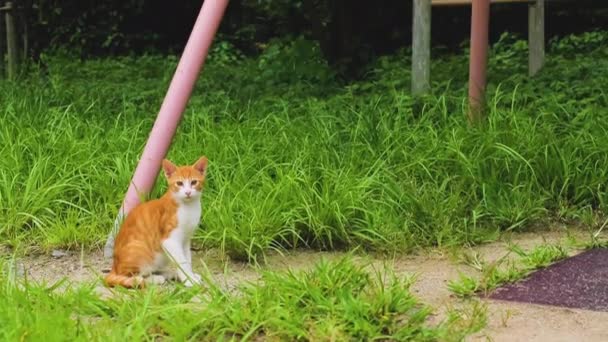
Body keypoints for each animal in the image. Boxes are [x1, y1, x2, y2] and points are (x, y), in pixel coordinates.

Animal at [105, 156, 209, 288]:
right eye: (179, 183)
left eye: (194, 182)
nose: (188, 192)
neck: (189, 207)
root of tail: (114, 265)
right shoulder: (170, 241)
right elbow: (181, 261)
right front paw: (189, 280)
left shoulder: (185, 239)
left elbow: (187, 259)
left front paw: (191, 275)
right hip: (139, 251)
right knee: (132, 277)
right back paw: (155, 279)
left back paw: (169, 273)